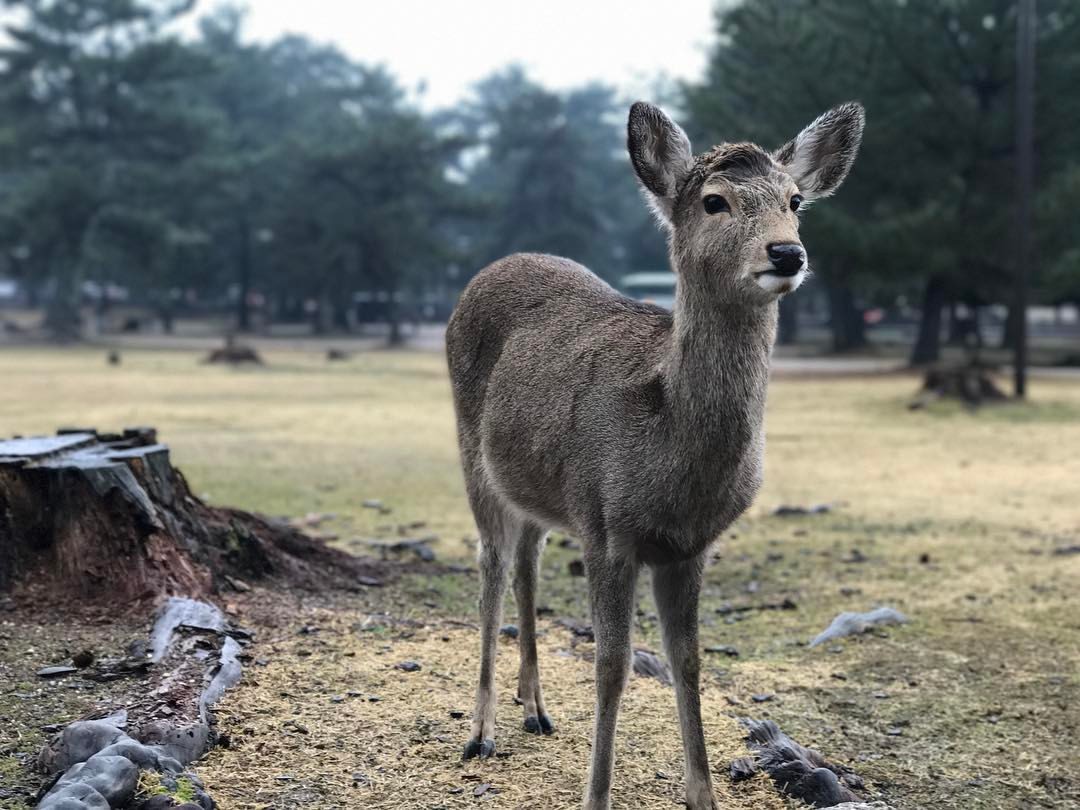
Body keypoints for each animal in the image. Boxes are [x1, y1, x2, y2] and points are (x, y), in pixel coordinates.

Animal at [445, 100, 864, 810]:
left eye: (796, 200)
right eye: (715, 200)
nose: (787, 251)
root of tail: (488, 271)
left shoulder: (690, 544)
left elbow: (687, 660)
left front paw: (703, 795)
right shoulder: (606, 524)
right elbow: (612, 664)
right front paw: (596, 796)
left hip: (537, 485)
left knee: (528, 559)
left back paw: (536, 709)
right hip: (472, 449)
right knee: (491, 568)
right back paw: (482, 731)